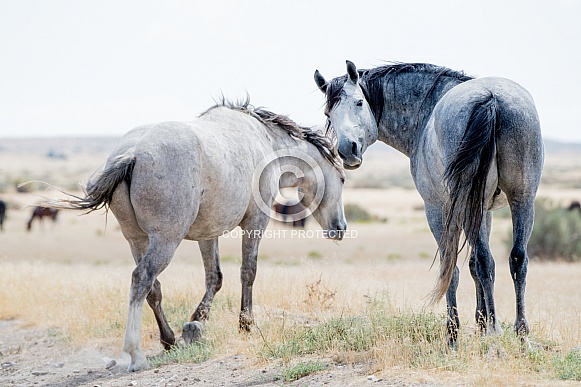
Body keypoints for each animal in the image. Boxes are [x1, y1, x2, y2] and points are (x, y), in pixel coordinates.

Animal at [48, 101, 344, 372]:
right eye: (342, 179)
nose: (340, 227)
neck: (266, 142)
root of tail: (131, 154)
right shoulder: (255, 222)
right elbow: (248, 272)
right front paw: (245, 325)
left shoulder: (207, 235)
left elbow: (215, 278)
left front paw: (196, 324)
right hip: (166, 240)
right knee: (141, 279)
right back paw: (136, 355)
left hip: (137, 240)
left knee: (153, 288)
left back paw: (168, 340)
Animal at [314, 62, 540, 344]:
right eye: (329, 113)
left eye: (359, 102)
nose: (347, 150)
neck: (426, 114)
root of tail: (491, 98)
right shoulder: (484, 210)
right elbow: (474, 266)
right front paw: (479, 323)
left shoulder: (437, 209)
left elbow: (451, 268)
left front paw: (454, 334)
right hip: (522, 199)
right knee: (516, 259)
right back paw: (519, 333)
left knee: (484, 260)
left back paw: (494, 330)